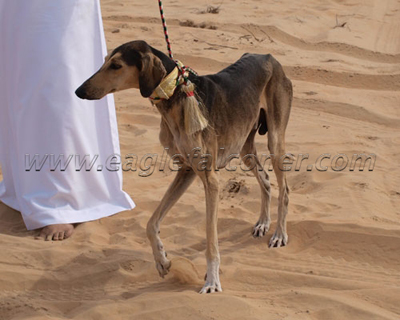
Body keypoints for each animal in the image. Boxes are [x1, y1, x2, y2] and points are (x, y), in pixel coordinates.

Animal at [76, 40, 292, 296]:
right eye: (105, 61)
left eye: (116, 65)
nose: (79, 91)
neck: (175, 94)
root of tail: (270, 57)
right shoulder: (187, 170)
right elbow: (151, 223)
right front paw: (162, 261)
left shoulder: (210, 180)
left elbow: (211, 241)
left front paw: (212, 281)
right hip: (244, 146)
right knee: (266, 179)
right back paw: (263, 223)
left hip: (275, 139)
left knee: (284, 189)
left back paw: (279, 234)